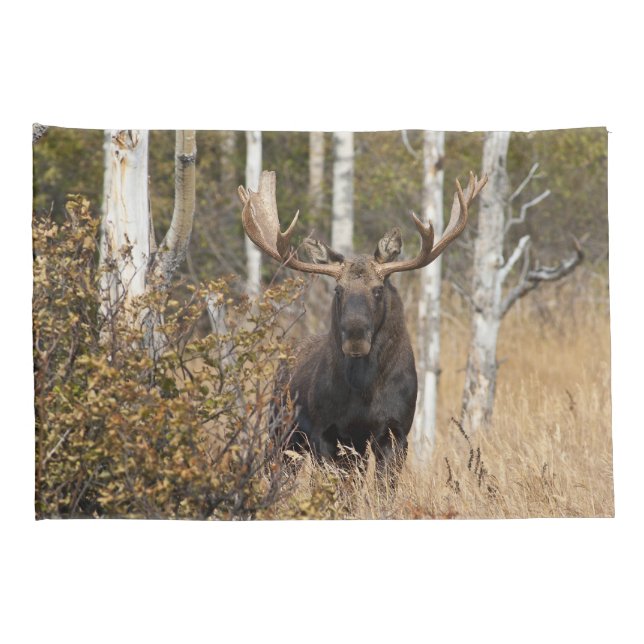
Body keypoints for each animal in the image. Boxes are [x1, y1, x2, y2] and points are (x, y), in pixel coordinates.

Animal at [238, 170, 486, 485]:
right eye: (338, 290)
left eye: (378, 289)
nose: (355, 337)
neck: (364, 391)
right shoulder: (328, 433)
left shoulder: (396, 431)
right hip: (281, 431)